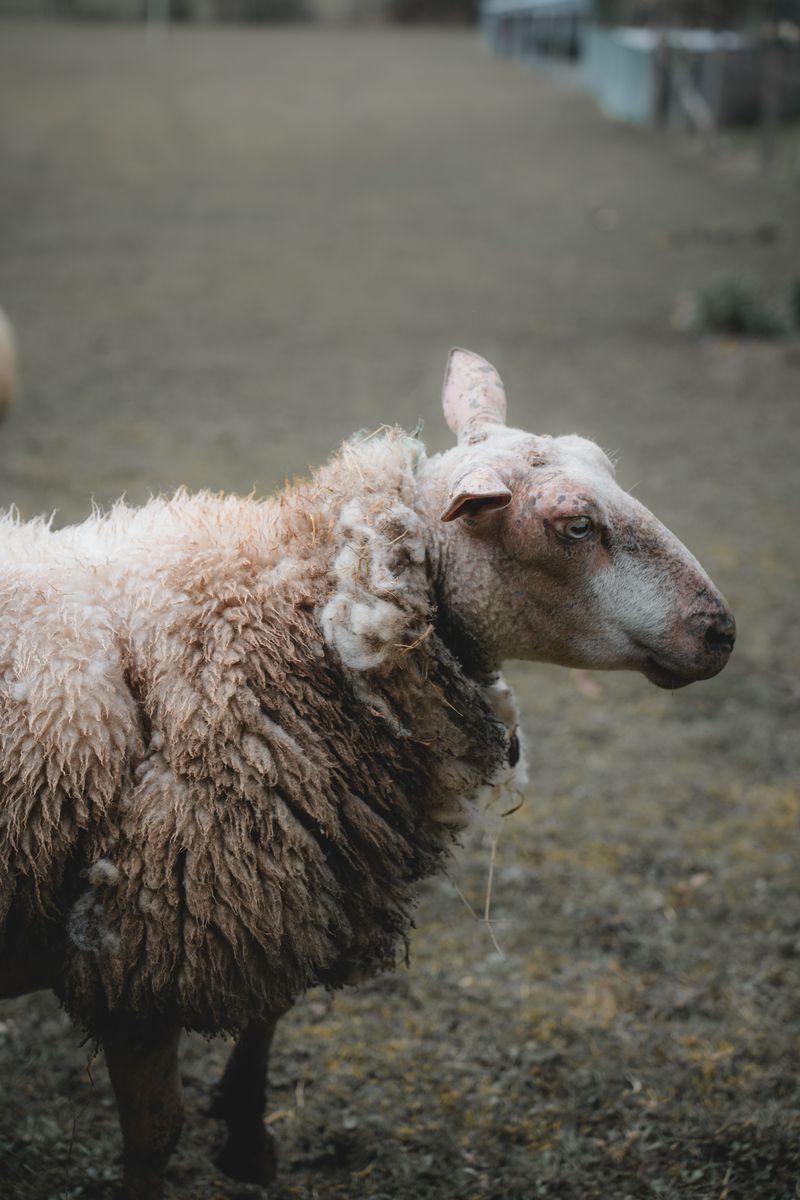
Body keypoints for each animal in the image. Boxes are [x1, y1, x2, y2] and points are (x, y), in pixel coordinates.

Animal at [0, 348, 735, 1199]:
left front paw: (247, 1136)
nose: (720, 631)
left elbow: (269, 1016)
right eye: (575, 525)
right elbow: (156, 1137)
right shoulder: (137, 943)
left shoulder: (286, 877)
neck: (292, 618)